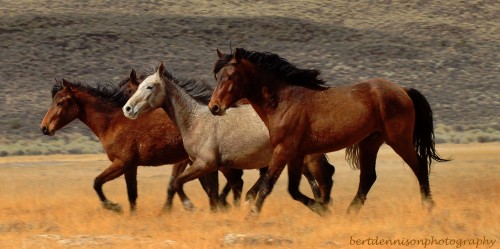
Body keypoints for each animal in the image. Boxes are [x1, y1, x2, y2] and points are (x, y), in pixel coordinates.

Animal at [122, 62, 336, 214]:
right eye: (137, 87)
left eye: (149, 87)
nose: (127, 109)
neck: (196, 120)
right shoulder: (207, 166)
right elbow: (211, 190)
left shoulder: (205, 164)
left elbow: (178, 183)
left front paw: (190, 206)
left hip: (306, 157)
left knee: (323, 177)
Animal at [207, 48, 450, 214]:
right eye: (217, 77)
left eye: (231, 76)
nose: (214, 107)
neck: (284, 100)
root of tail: (403, 90)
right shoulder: (296, 154)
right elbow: (293, 190)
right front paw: (323, 209)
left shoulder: (284, 150)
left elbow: (268, 185)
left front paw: (251, 216)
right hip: (370, 142)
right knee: (368, 177)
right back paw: (350, 213)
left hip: (398, 139)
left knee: (419, 167)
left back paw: (428, 207)